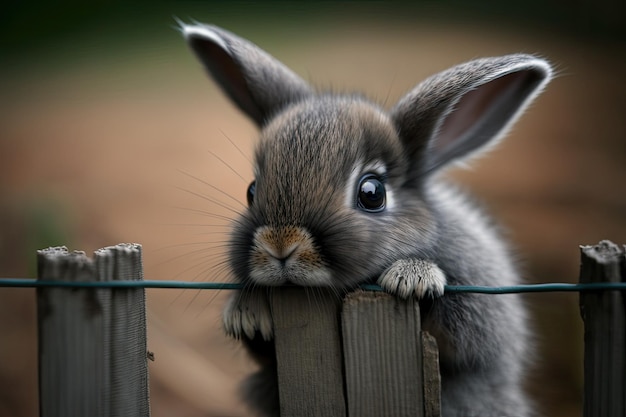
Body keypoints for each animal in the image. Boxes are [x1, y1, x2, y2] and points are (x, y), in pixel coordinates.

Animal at [180, 22, 552, 416]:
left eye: (372, 193)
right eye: (251, 191)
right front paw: (246, 316)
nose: (280, 245)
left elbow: (464, 340)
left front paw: (411, 279)